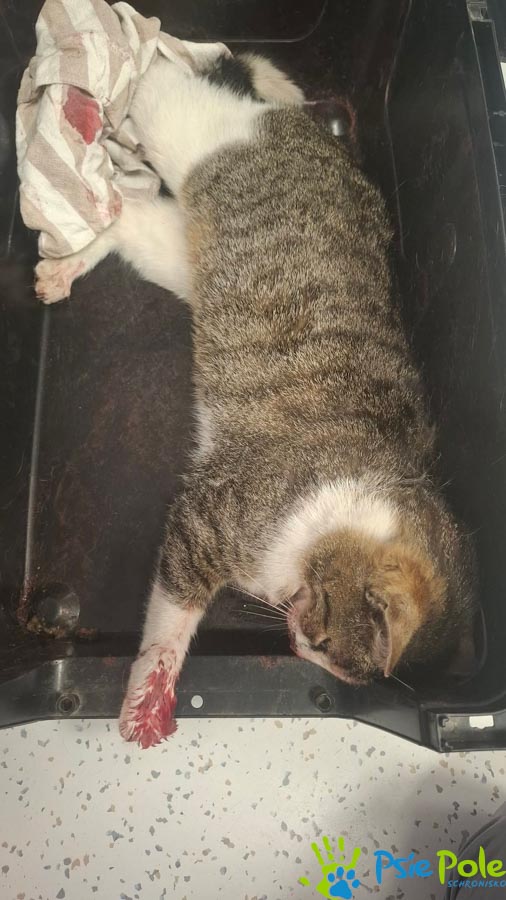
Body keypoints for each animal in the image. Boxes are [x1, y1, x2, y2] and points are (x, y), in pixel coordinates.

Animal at [34, 52, 477, 748]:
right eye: (324, 640)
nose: (296, 645)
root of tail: (302, 127)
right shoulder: (205, 518)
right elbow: (170, 623)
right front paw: (149, 695)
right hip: (185, 127)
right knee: (160, 76)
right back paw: (91, 90)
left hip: (187, 254)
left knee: (127, 210)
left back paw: (70, 258)